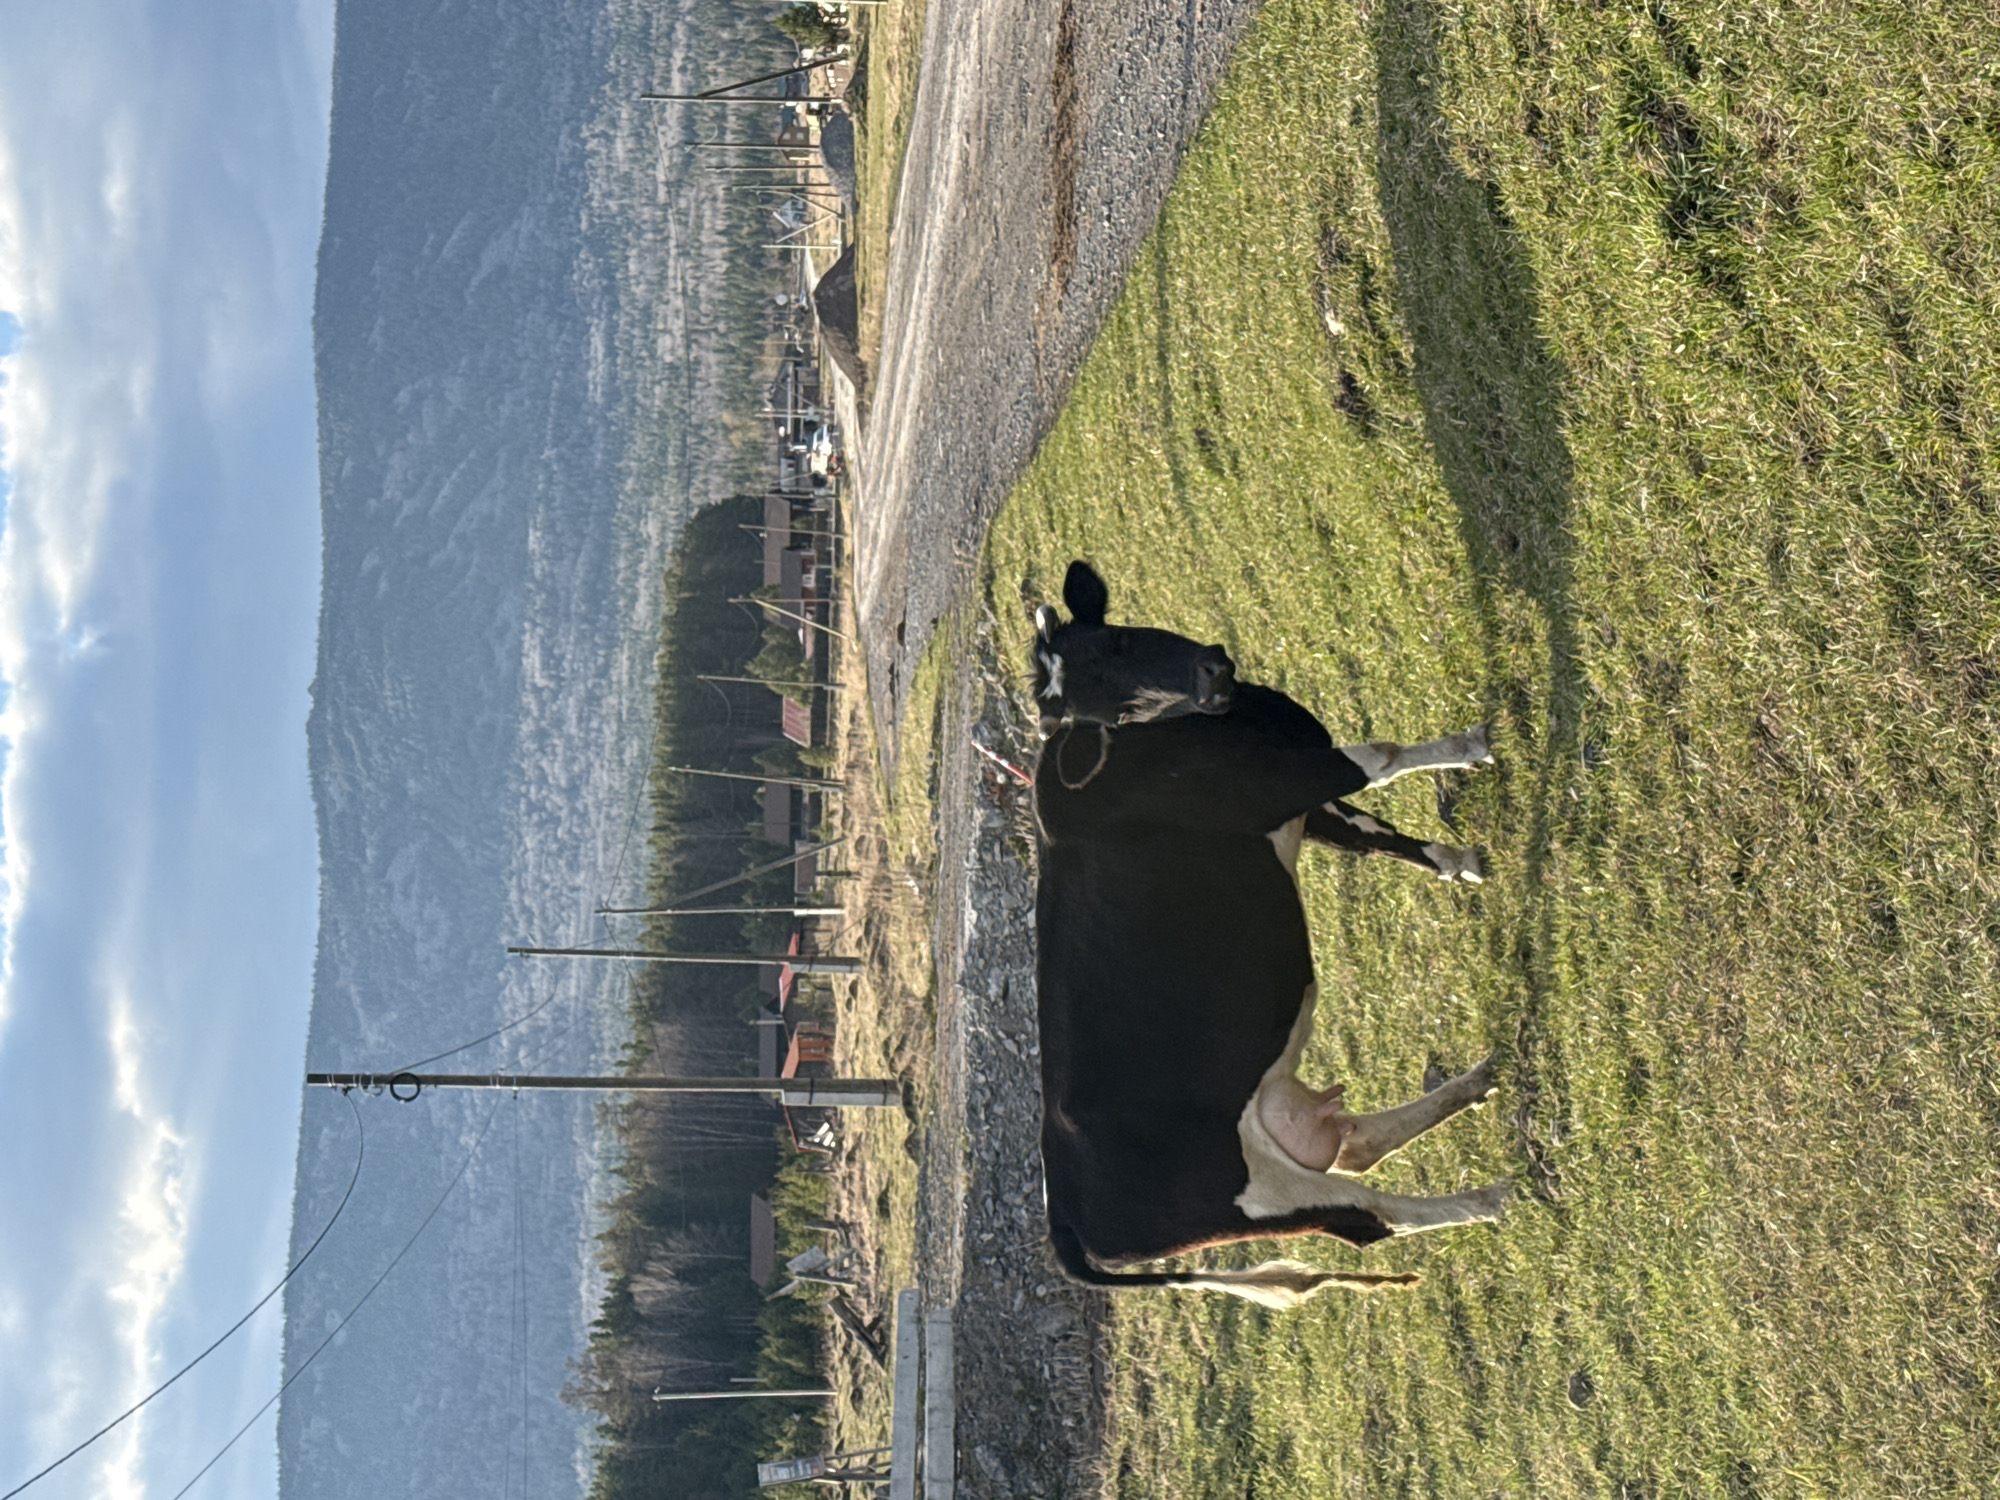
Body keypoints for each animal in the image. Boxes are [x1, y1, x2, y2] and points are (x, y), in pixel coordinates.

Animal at [1032, 563, 1509, 1305]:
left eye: (1117, 641)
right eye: (1109, 717)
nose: (1210, 675)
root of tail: (1064, 1218)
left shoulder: (1298, 799)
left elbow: (1374, 835)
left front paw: (1458, 861)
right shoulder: (1288, 779)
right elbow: (1380, 756)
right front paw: (1471, 745)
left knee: (1356, 1146)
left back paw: (1474, 1085)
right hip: (1256, 1195)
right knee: (1368, 1216)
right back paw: (1487, 1197)